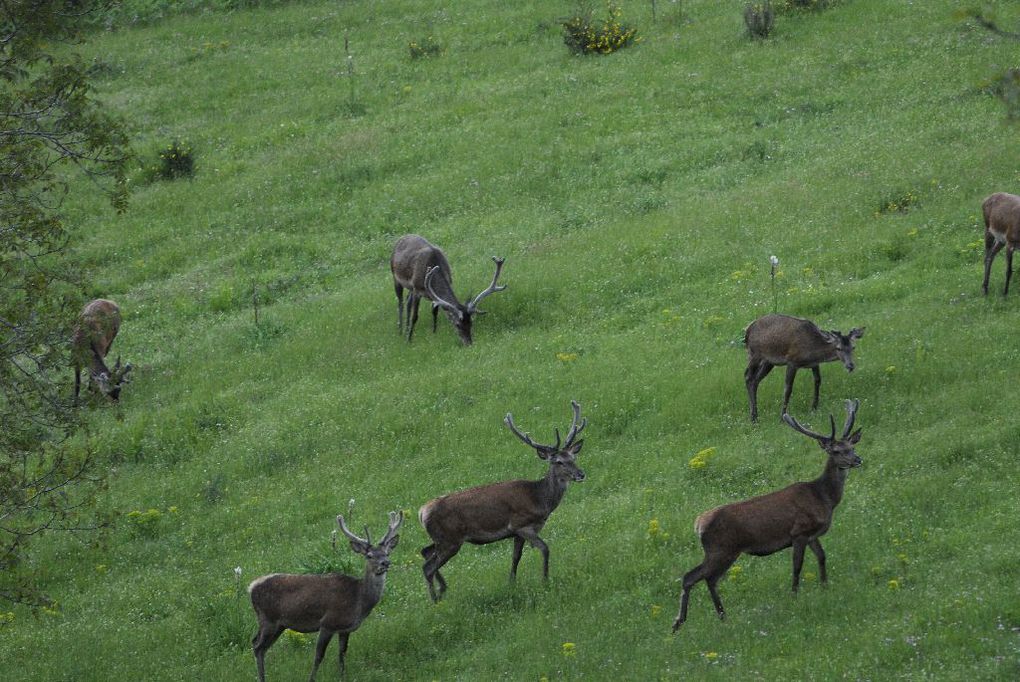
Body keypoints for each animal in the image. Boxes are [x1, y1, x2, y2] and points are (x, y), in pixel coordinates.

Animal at [246, 509, 401, 680]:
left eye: (387, 552)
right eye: (369, 555)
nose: (385, 563)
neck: (358, 600)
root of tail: (251, 587)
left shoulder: (344, 629)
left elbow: (342, 653)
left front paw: (342, 677)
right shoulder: (328, 623)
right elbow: (319, 656)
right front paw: (311, 679)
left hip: (278, 624)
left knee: (257, 644)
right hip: (268, 619)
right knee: (258, 647)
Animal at [416, 399, 587, 599]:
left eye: (573, 456)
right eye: (558, 461)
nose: (581, 474)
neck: (539, 500)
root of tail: (422, 512)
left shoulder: (517, 533)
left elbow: (516, 557)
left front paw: (511, 584)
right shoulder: (521, 525)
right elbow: (545, 548)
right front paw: (545, 581)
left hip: (443, 539)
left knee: (425, 552)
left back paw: (442, 589)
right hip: (449, 540)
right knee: (428, 567)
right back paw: (436, 599)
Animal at [673, 399, 864, 632]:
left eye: (852, 447)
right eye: (836, 451)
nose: (857, 459)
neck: (823, 497)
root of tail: (699, 523)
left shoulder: (812, 535)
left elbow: (822, 557)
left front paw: (825, 587)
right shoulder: (799, 532)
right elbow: (797, 566)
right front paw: (794, 595)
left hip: (719, 551)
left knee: (702, 578)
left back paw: (697, 620)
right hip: (722, 549)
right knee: (698, 577)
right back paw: (700, 619)